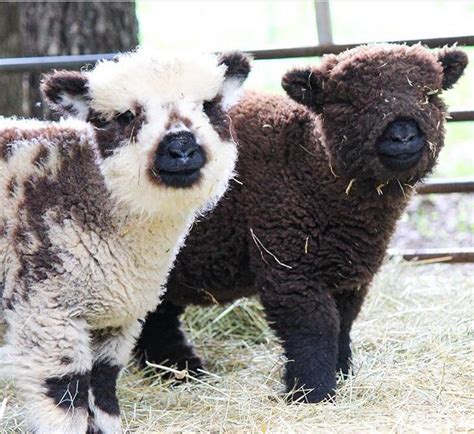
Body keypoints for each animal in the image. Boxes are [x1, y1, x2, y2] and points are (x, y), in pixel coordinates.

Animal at [0, 49, 250, 432]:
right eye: (126, 116)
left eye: (208, 106)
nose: (181, 148)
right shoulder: (46, 308)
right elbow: (65, 395)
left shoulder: (116, 317)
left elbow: (103, 386)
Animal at [135, 44, 468, 404]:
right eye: (346, 101)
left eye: (430, 95)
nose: (403, 135)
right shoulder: (290, 266)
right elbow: (313, 328)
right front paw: (313, 392)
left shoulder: (347, 272)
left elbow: (343, 322)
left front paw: (341, 373)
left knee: (156, 317)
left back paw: (176, 369)